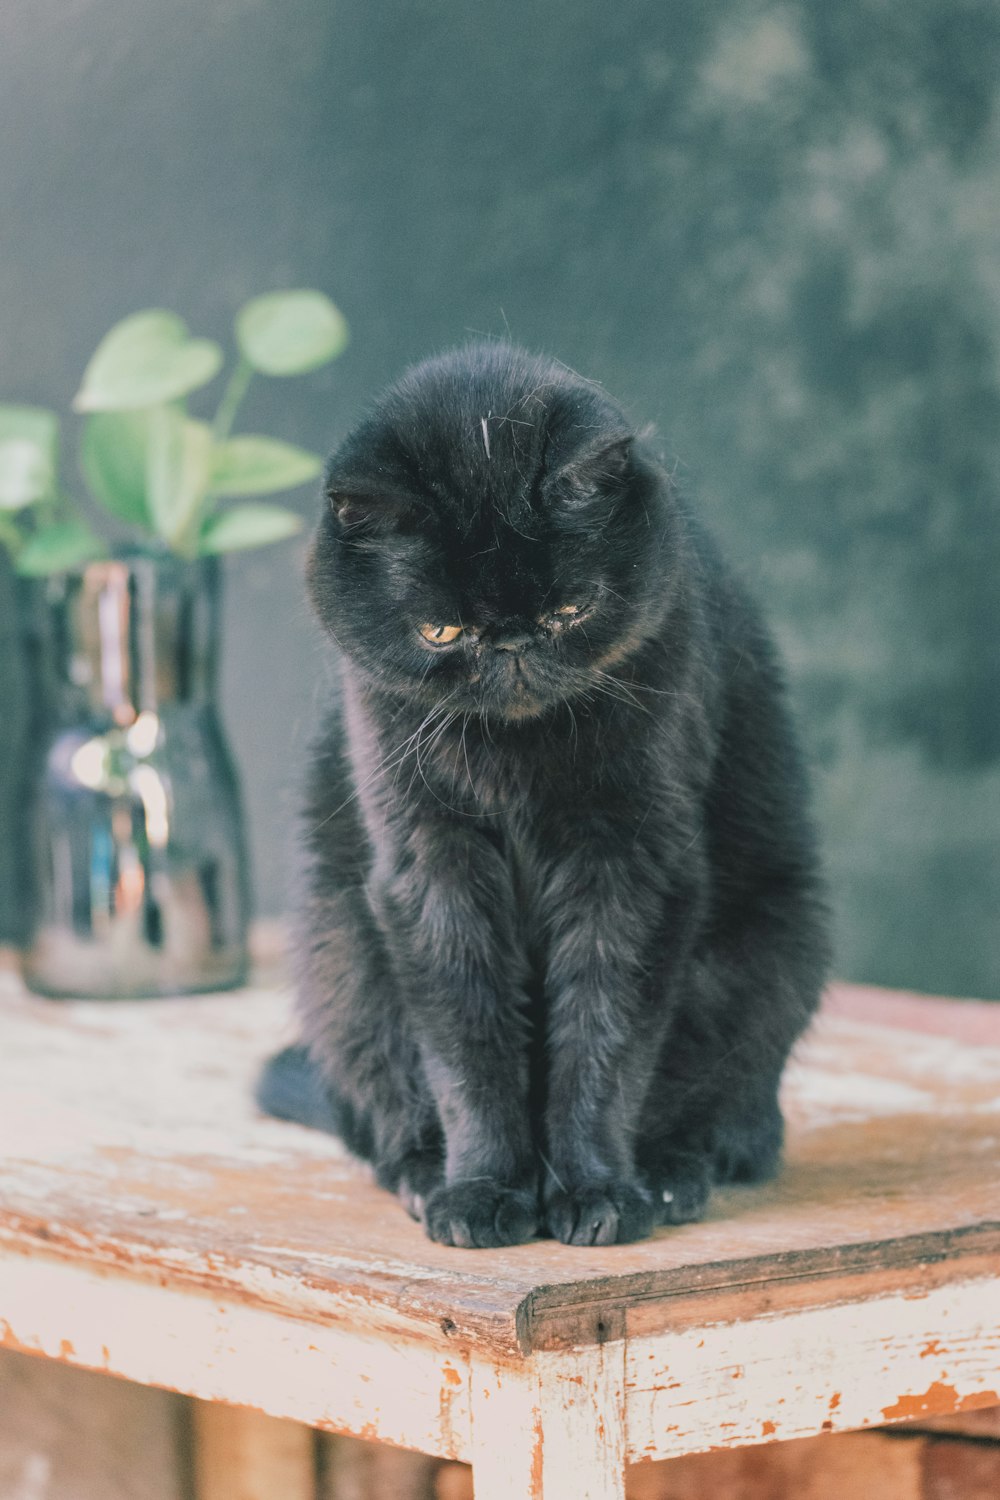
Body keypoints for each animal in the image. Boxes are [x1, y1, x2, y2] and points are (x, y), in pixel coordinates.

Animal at [257, 345, 827, 1248]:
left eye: (570, 608)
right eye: (441, 632)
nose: (514, 646)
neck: (515, 761)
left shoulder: (631, 862)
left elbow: (605, 1036)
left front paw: (597, 1192)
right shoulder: (432, 864)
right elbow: (467, 1044)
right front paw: (484, 1192)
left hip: (769, 957)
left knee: (735, 1122)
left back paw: (673, 1176)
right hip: (340, 955)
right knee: (385, 1115)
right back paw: (426, 1176)